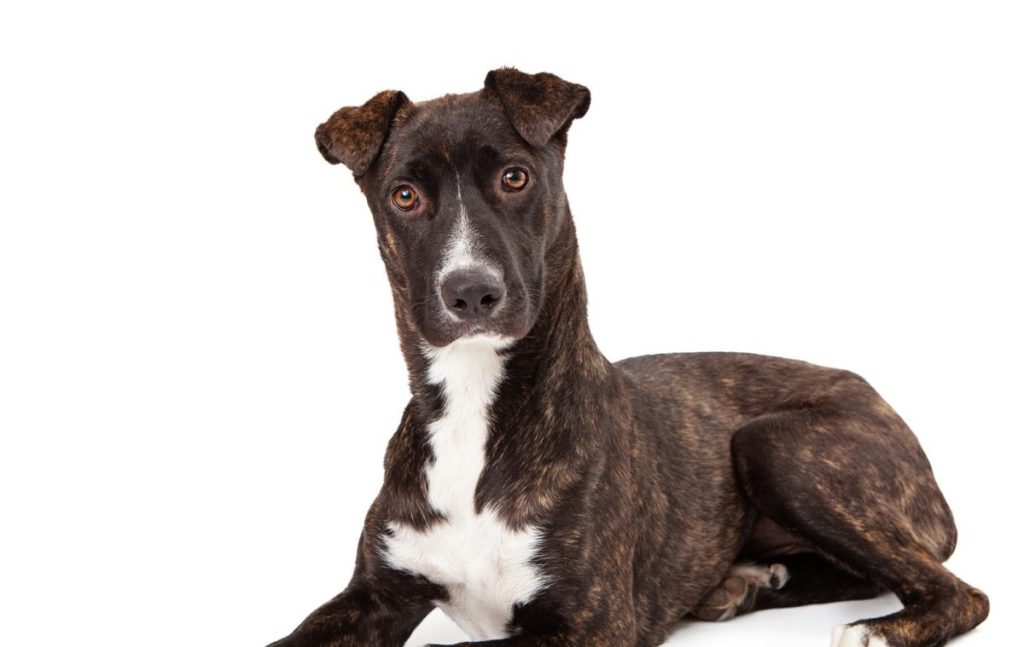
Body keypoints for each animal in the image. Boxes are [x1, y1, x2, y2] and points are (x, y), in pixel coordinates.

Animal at [268, 69, 987, 647]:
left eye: (514, 177)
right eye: (405, 195)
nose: (471, 291)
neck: (476, 407)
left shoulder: (591, 623)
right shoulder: (374, 594)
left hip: (777, 443)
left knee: (954, 590)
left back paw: (873, 630)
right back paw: (742, 584)